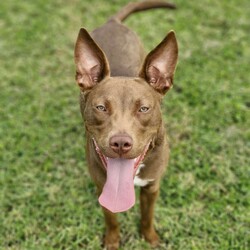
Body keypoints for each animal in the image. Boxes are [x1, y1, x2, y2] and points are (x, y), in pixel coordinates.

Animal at [73, 0, 178, 249]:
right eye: (101, 107)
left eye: (144, 109)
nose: (120, 143)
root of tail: (113, 22)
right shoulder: (103, 186)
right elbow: (112, 220)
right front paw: (112, 242)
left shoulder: (152, 187)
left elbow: (147, 216)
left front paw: (150, 238)